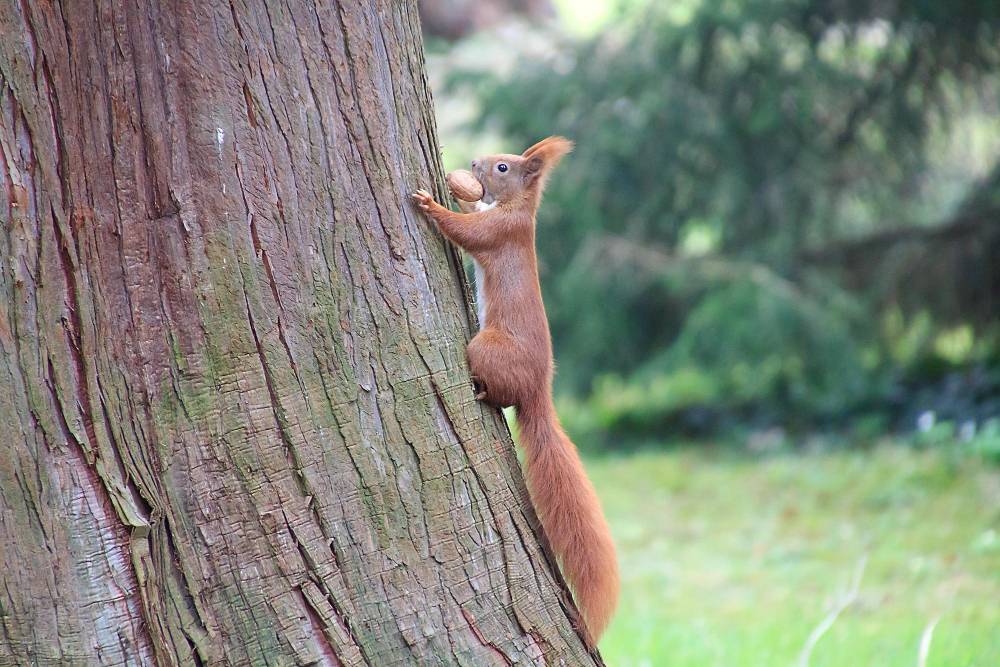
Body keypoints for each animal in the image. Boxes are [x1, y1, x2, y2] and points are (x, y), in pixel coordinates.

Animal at [412, 137, 616, 648]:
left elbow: (467, 233)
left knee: (500, 395)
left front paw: (430, 204)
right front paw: (458, 191)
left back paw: (482, 392)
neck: (518, 208)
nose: (472, 163)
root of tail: (539, 392)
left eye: (503, 166)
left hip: (485, 348)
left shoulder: (500, 231)